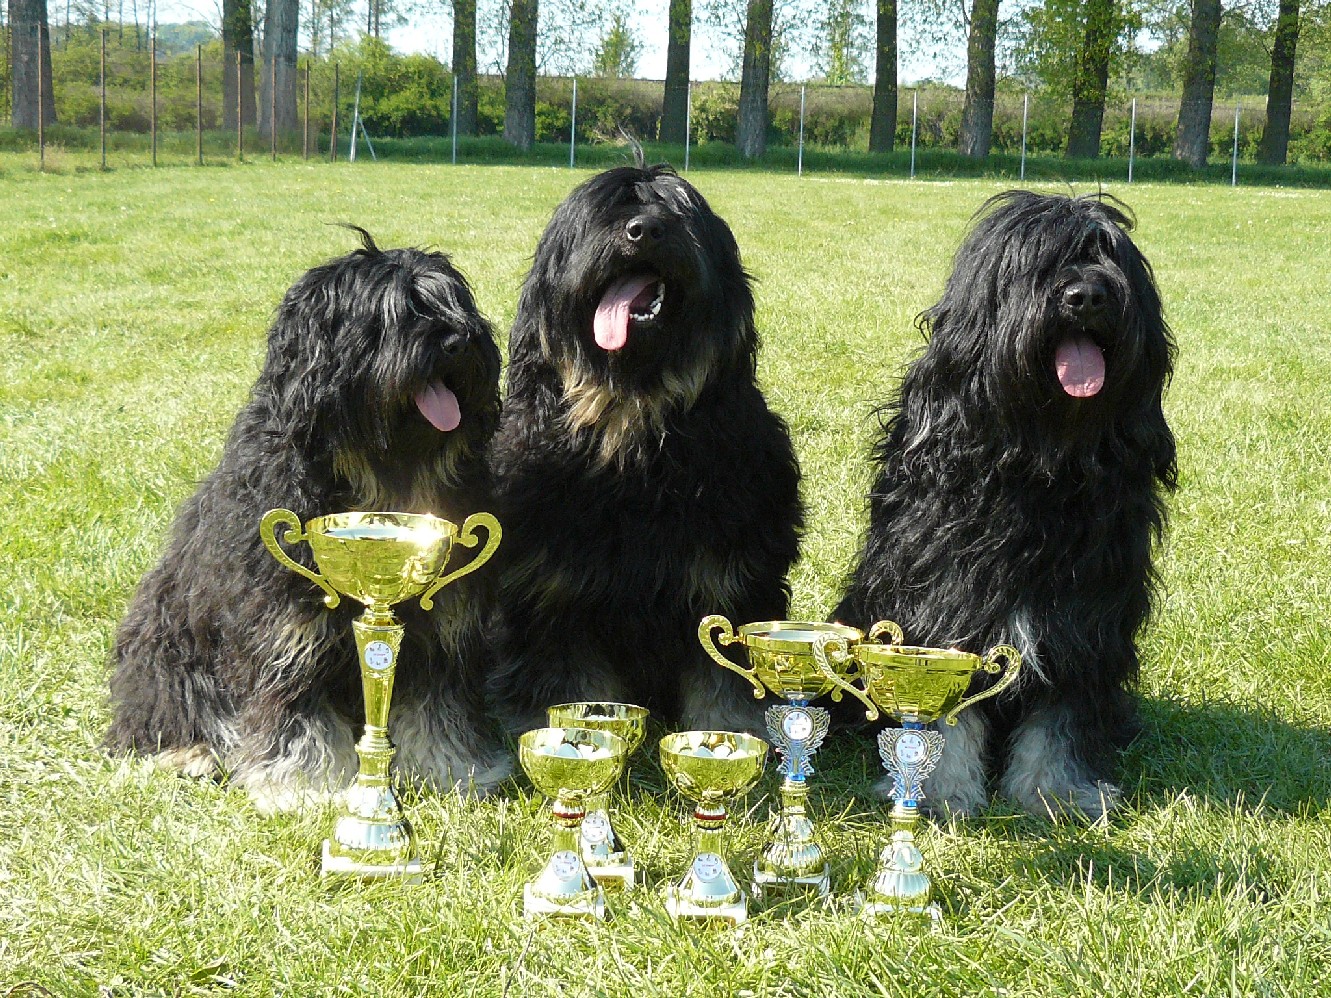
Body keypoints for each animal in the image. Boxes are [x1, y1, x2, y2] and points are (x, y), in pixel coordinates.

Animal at [102, 228, 508, 814]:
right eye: (391, 315)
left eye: (454, 303)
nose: (459, 341)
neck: (379, 474)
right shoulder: (284, 631)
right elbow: (296, 715)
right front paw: (305, 790)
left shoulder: (442, 628)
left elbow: (438, 707)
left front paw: (453, 771)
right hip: (166, 651)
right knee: (163, 711)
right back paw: (187, 753)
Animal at [489, 168, 798, 734]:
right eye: (606, 212)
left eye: (678, 212)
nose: (645, 230)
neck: (631, 427)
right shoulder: (556, 591)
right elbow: (570, 681)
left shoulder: (727, 578)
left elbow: (722, 680)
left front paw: (727, 733)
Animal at [835, 192, 1181, 819]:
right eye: (1036, 264)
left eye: (1108, 255)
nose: (1087, 295)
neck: (1039, 469)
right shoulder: (945, 604)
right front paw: (938, 790)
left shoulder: (1082, 618)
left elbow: (1061, 714)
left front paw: (1056, 791)